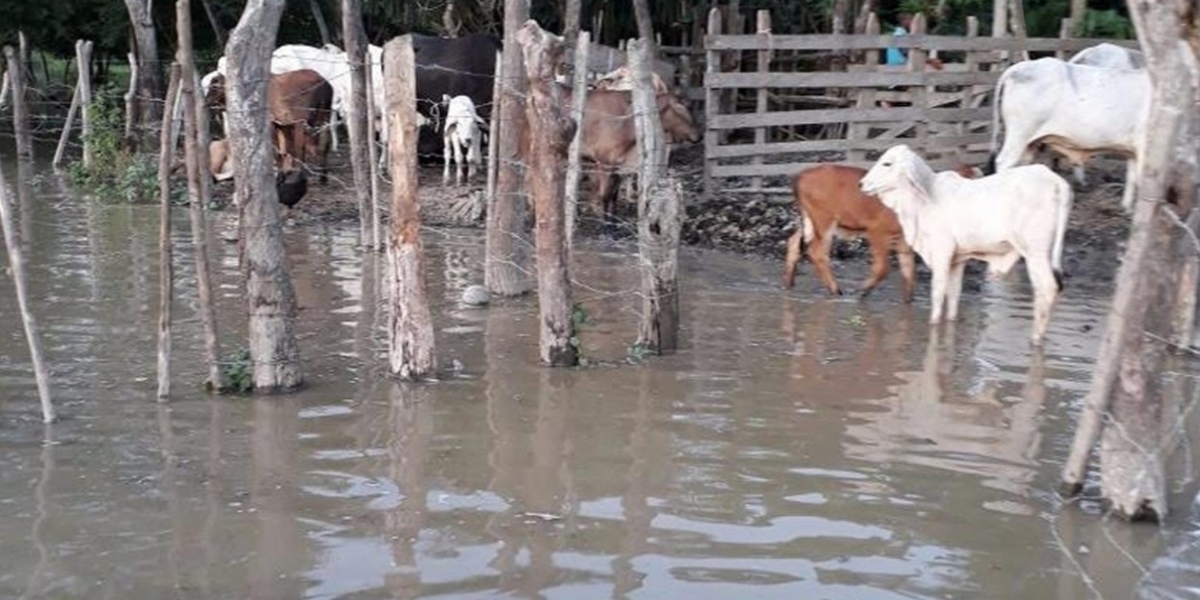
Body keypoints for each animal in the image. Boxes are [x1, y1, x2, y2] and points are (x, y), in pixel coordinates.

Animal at [777, 162, 984, 302]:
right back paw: (836, 290)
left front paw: (908, 302)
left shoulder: (903, 241)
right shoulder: (877, 230)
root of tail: (799, 176)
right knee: (817, 252)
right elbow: (884, 268)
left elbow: (909, 273)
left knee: (794, 242)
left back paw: (788, 284)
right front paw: (863, 291)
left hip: (810, 220)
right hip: (824, 219)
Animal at [859, 143, 1075, 348]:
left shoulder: (941, 251)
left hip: (1035, 252)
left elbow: (938, 292)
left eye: (887, 163)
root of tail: (1055, 180)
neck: (921, 201)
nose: (862, 184)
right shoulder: (958, 259)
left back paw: (1036, 339)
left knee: (1047, 288)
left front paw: (933, 324)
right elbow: (954, 293)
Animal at [988, 56, 1147, 211]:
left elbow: (1132, 178)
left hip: (1030, 144)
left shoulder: (1133, 150)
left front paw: (1126, 208)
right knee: (1003, 162)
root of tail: (1019, 68)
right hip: (1019, 135)